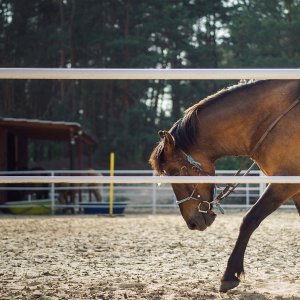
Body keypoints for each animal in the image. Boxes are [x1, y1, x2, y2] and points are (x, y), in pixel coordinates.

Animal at [149, 79, 300, 292]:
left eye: (175, 172)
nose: (192, 222)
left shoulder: (285, 183)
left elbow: (250, 220)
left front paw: (229, 275)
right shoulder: (294, 189)